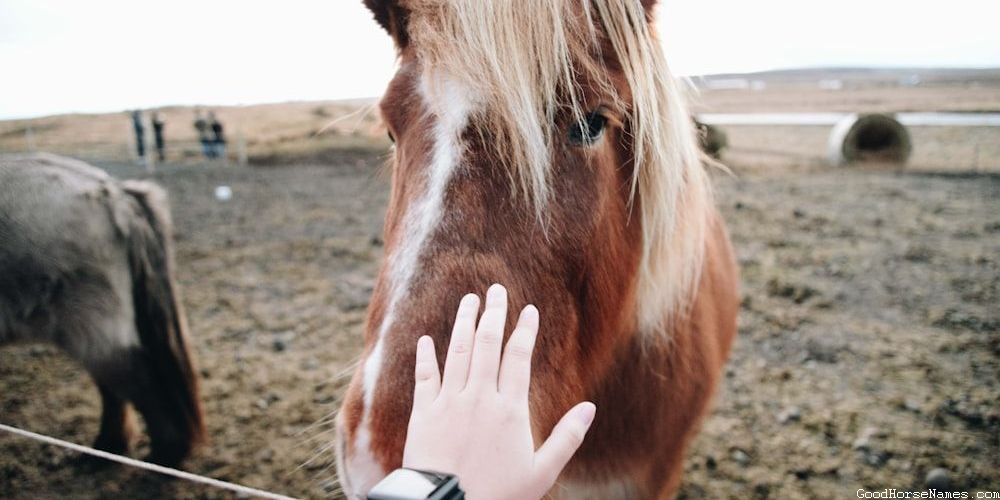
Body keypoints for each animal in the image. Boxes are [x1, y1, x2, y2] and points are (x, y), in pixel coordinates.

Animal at [0, 153, 204, 466]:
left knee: (134, 383)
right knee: (115, 387)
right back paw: (109, 449)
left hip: (90, 323)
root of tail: (113, 193)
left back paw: (158, 458)